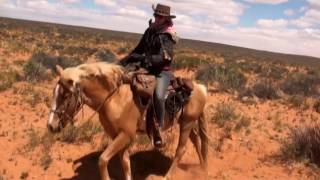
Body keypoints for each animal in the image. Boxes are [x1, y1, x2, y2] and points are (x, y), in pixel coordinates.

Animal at [47, 62, 208, 180]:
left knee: (181, 149)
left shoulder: (126, 135)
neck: (113, 99)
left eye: (65, 95)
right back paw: (202, 168)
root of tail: (200, 88)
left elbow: (103, 160)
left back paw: (168, 176)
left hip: (187, 124)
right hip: (186, 122)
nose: (51, 125)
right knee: (197, 141)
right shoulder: (118, 136)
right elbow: (125, 163)